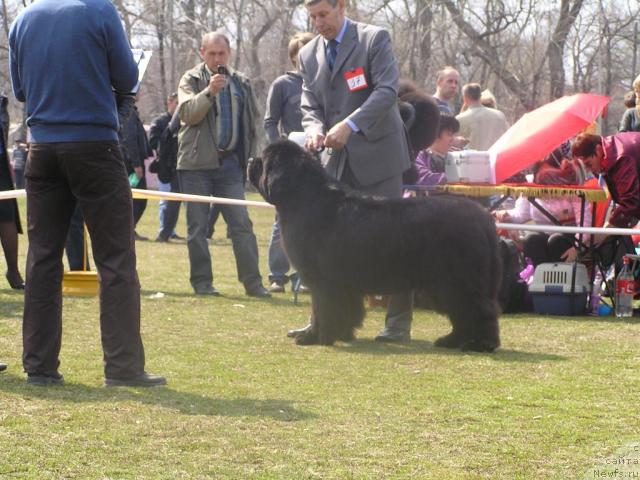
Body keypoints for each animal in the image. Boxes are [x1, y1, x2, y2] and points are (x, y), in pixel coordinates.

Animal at [248, 141, 502, 350]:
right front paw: (343, 334)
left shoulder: (322, 280)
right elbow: (347, 310)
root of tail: (483, 218)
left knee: (479, 309)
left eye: (264, 160)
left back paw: (481, 344)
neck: (303, 198)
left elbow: (322, 309)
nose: (250, 160)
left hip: (455, 280)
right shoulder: (344, 282)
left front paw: (314, 337)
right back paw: (451, 341)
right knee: (464, 313)